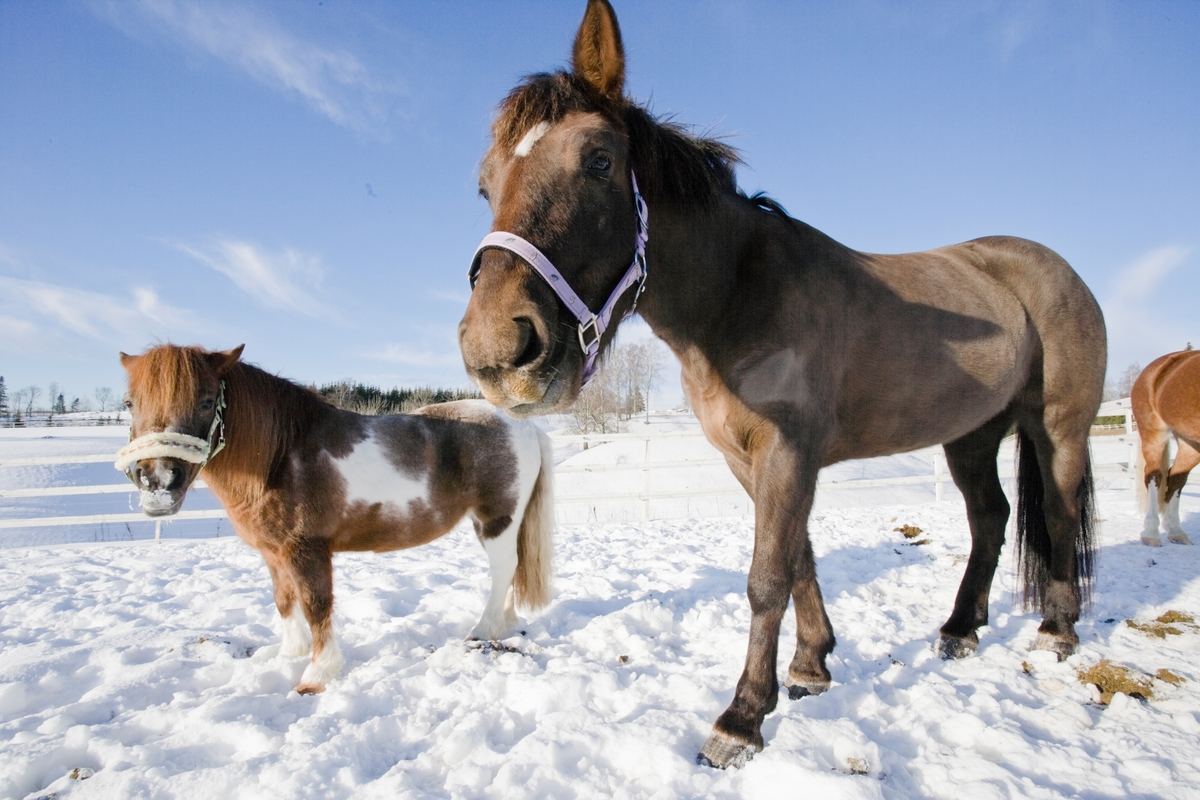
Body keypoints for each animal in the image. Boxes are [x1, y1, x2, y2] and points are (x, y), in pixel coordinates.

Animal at [117, 345, 556, 695]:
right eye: (129, 403)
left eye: (208, 401)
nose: (157, 481)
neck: (283, 455)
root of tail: (523, 425)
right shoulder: (273, 552)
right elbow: (284, 600)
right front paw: (288, 653)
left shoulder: (307, 549)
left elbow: (315, 605)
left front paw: (317, 675)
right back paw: (504, 624)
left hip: (495, 521)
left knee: (504, 569)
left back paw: (482, 631)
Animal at [456, 0, 1104, 767]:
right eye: (485, 184)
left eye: (599, 160)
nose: (497, 351)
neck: (738, 294)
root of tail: (1054, 269)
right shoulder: (749, 459)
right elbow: (799, 560)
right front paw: (811, 666)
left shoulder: (789, 452)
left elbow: (767, 577)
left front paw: (741, 718)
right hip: (970, 438)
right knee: (991, 518)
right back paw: (960, 629)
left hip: (1059, 428)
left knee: (1057, 514)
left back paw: (1058, 630)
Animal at [1132, 352, 1200, 546]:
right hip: (1154, 434)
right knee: (1155, 477)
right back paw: (1151, 533)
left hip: (1190, 444)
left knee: (1176, 478)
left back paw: (1176, 531)